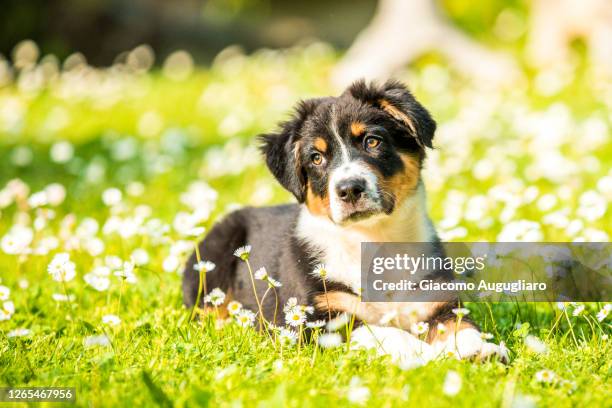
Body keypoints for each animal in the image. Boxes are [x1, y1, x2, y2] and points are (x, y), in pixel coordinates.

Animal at [182, 81, 506, 362]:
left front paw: (479, 349)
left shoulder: (436, 299)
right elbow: (382, 331)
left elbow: (459, 325)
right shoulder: (319, 319)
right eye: (316, 158)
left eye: (372, 141)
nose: (349, 189)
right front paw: (425, 354)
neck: (374, 239)